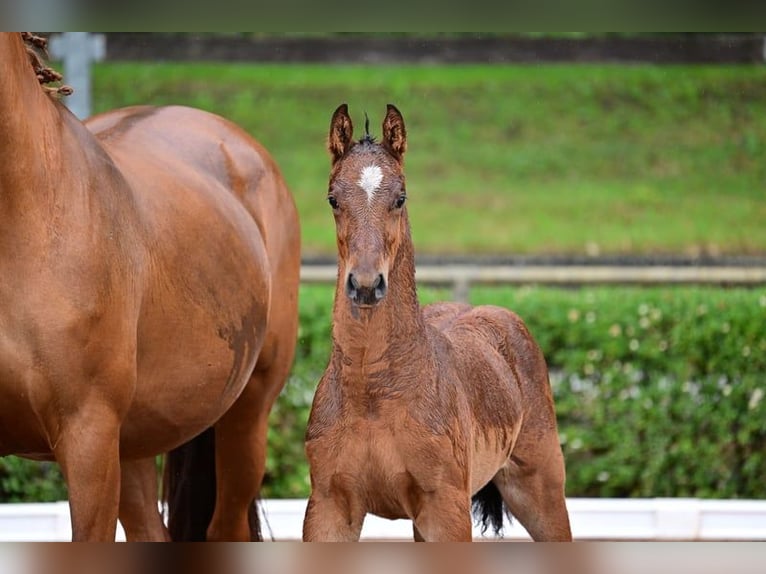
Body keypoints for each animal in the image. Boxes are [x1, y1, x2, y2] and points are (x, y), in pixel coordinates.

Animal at [302, 103, 572, 542]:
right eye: (332, 199)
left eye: (400, 197)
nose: (365, 284)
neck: (373, 393)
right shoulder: (329, 507)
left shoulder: (445, 511)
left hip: (540, 490)